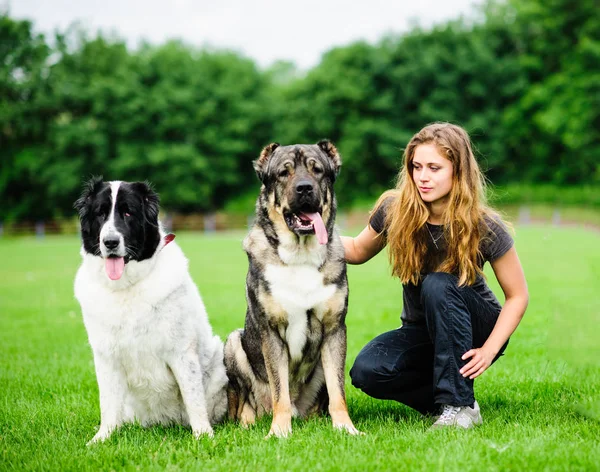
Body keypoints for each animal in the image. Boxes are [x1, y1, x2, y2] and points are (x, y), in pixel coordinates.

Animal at [73, 179, 227, 444]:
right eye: (100, 214)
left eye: (128, 213)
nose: (110, 242)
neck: (127, 287)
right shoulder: (106, 358)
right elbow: (108, 403)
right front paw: (103, 438)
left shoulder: (182, 353)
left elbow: (194, 399)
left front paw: (203, 435)